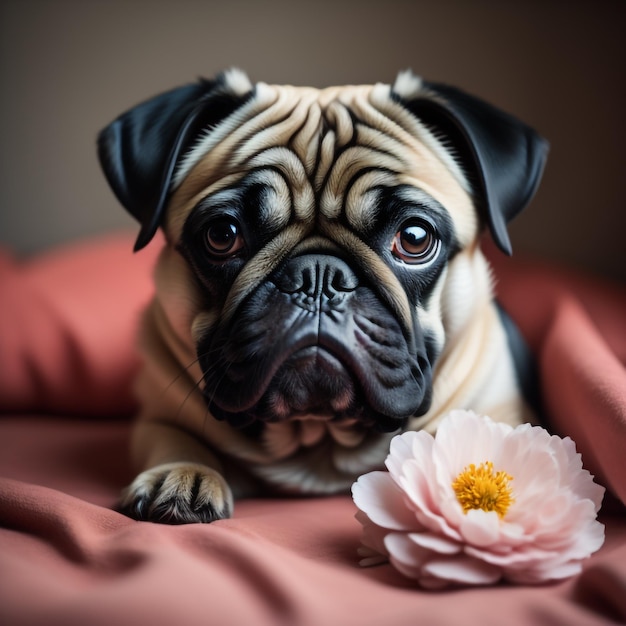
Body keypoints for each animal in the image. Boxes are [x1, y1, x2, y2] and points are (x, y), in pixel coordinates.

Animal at [97, 69, 544, 520]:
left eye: (414, 238)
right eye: (222, 235)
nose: (318, 277)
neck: (318, 435)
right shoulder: (157, 416)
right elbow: (172, 436)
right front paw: (182, 474)